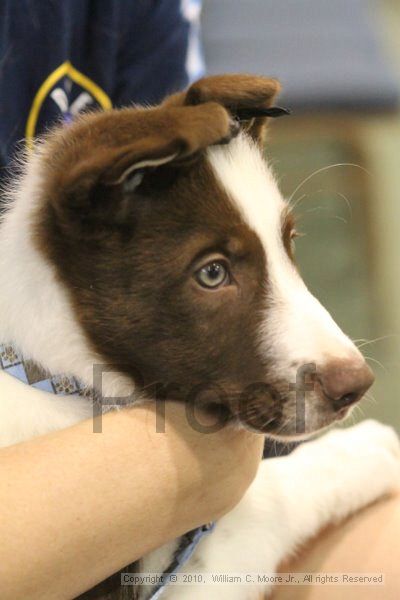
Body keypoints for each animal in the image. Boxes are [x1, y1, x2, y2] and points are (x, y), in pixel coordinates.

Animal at [0, 75, 400, 600]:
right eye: (213, 273)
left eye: (289, 244)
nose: (355, 385)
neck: (60, 379)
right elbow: (264, 501)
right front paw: (366, 448)